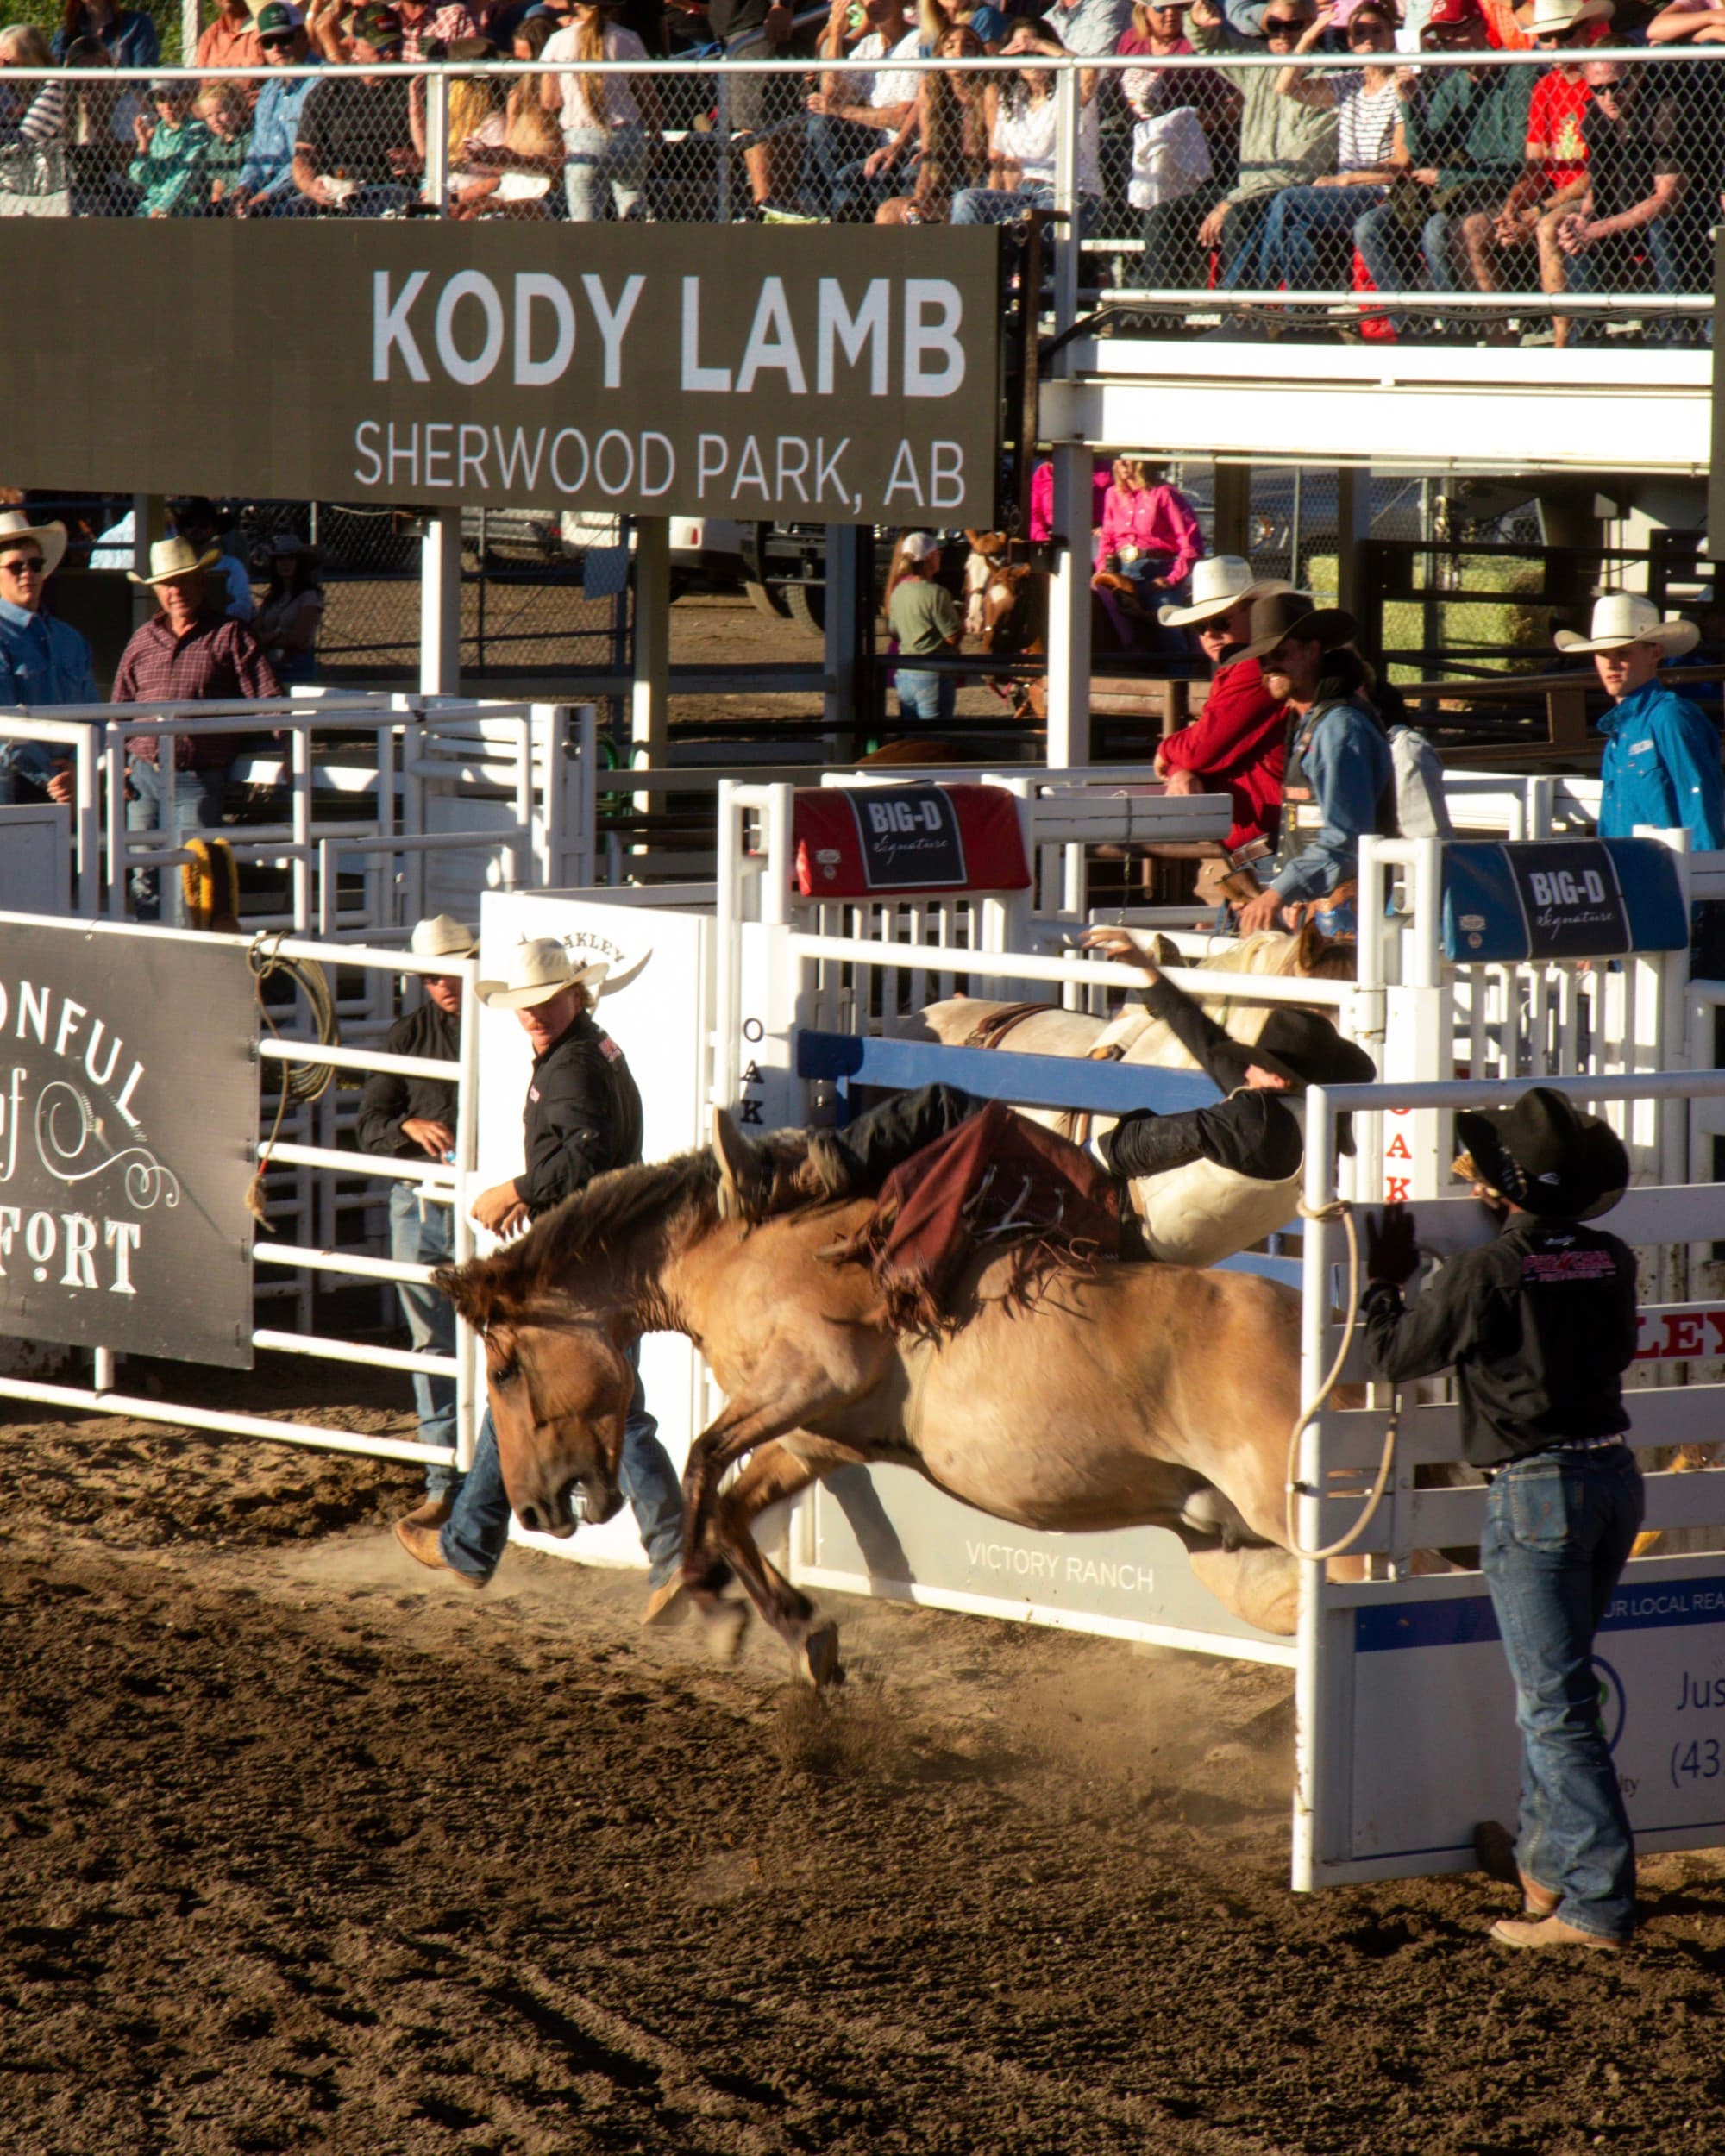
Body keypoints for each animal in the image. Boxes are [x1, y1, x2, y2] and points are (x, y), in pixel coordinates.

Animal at [437, 1164, 1311, 1682]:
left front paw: (712, 1606)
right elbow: (728, 1506)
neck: (745, 1250)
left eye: (505, 1369)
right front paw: (800, 1633)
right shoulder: (812, 1437)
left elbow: (700, 1462)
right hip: (1228, 1547)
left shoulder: (811, 1374)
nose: (532, 1508)